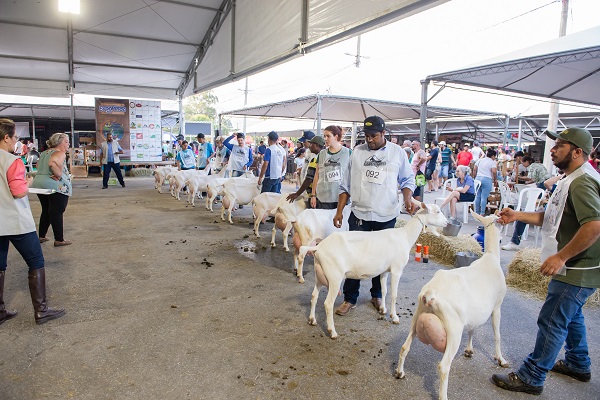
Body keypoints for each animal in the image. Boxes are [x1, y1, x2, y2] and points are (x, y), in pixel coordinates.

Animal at [303, 201, 447, 339]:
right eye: (437, 211)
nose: (446, 222)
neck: (405, 236)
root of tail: (318, 248)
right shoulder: (397, 269)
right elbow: (394, 294)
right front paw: (394, 317)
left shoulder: (384, 271)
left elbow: (384, 290)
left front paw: (382, 309)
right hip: (334, 277)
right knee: (328, 303)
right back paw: (332, 332)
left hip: (319, 274)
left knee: (314, 295)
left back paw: (312, 320)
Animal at [394, 210, 508, 400]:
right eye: (499, 222)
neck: (491, 257)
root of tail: (430, 294)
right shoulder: (497, 307)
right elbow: (498, 335)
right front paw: (501, 359)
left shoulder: (473, 314)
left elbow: (472, 329)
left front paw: (469, 350)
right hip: (453, 329)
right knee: (444, 366)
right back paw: (443, 395)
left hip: (417, 317)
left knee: (404, 347)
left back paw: (399, 373)